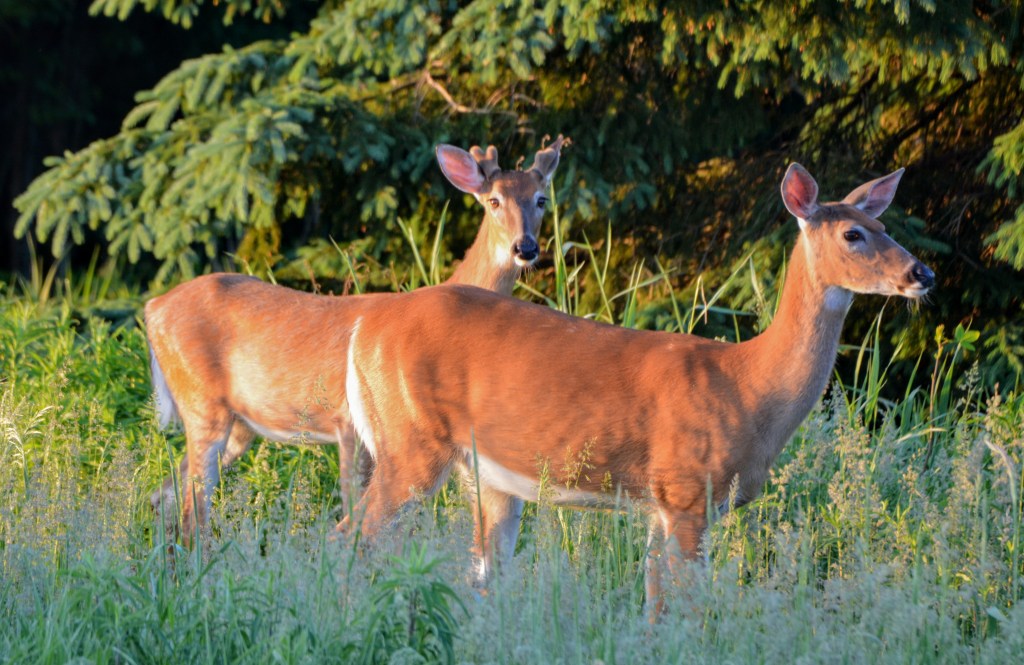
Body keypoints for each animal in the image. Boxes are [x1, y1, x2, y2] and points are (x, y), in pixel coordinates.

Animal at [145, 136, 566, 545]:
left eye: (540, 199)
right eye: (494, 200)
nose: (525, 248)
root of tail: (153, 309)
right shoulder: (347, 423)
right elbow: (353, 506)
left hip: (239, 425)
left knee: (164, 492)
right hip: (201, 402)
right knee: (191, 508)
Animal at [339, 163, 935, 608]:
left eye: (888, 228)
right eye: (853, 234)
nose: (922, 273)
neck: (748, 386)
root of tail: (364, 328)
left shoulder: (663, 505)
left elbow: (652, 602)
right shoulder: (687, 489)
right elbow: (679, 608)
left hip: (486, 476)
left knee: (479, 572)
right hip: (410, 441)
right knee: (351, 536)